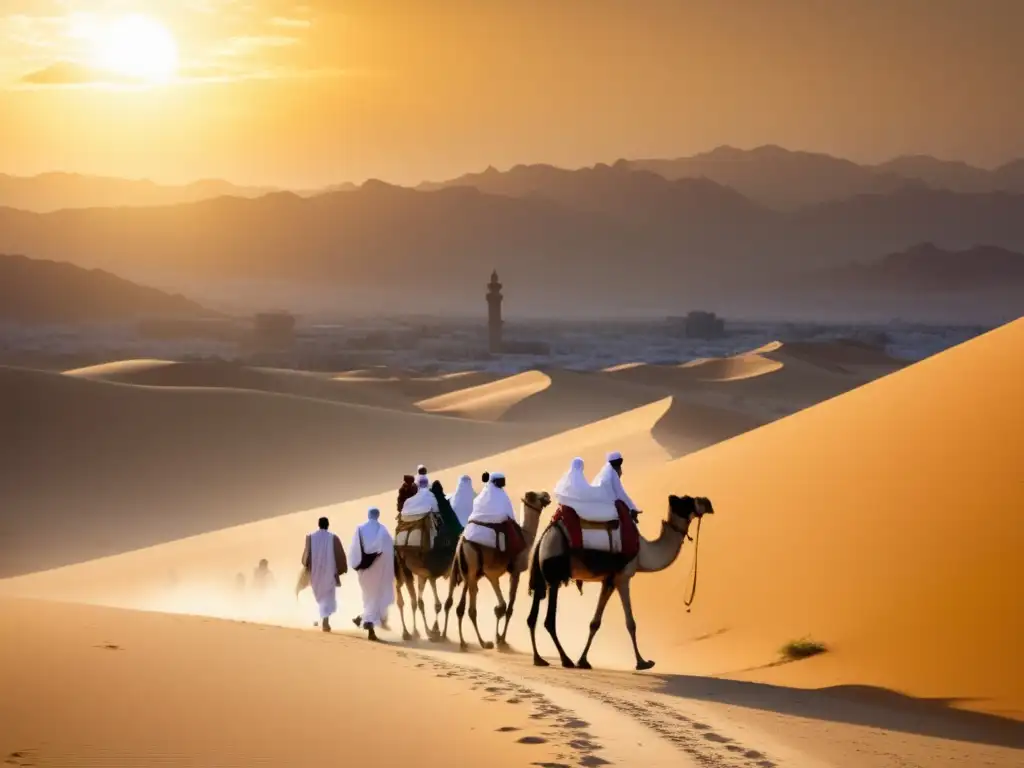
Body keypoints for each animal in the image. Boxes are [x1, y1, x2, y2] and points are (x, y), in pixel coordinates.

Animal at [442, 493, 552, 651]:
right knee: (467, 608)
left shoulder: (491, 575)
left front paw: (498, 637)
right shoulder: (516, 571)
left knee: (451, 602)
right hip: (471, 568)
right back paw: (476, 642)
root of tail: (462, 542)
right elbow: (509, 607)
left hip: (459, 568)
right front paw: (502, 640)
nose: (546, 495)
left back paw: (444, 635)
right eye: (536, 496)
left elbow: (501, 606)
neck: (525, 537)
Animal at [528, 495, 712, 671]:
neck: (642, 552)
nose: (708, 503)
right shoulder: (623, 577)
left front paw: (583, 661)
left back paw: (539, 659)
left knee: (532, 616)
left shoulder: (609, 581)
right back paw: (565, 660)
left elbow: (595, 622)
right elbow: (630, 623)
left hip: (543, 575)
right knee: (549, 621)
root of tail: (544, 538)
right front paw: (642, 662)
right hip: (554, 574)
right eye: (687, 500)